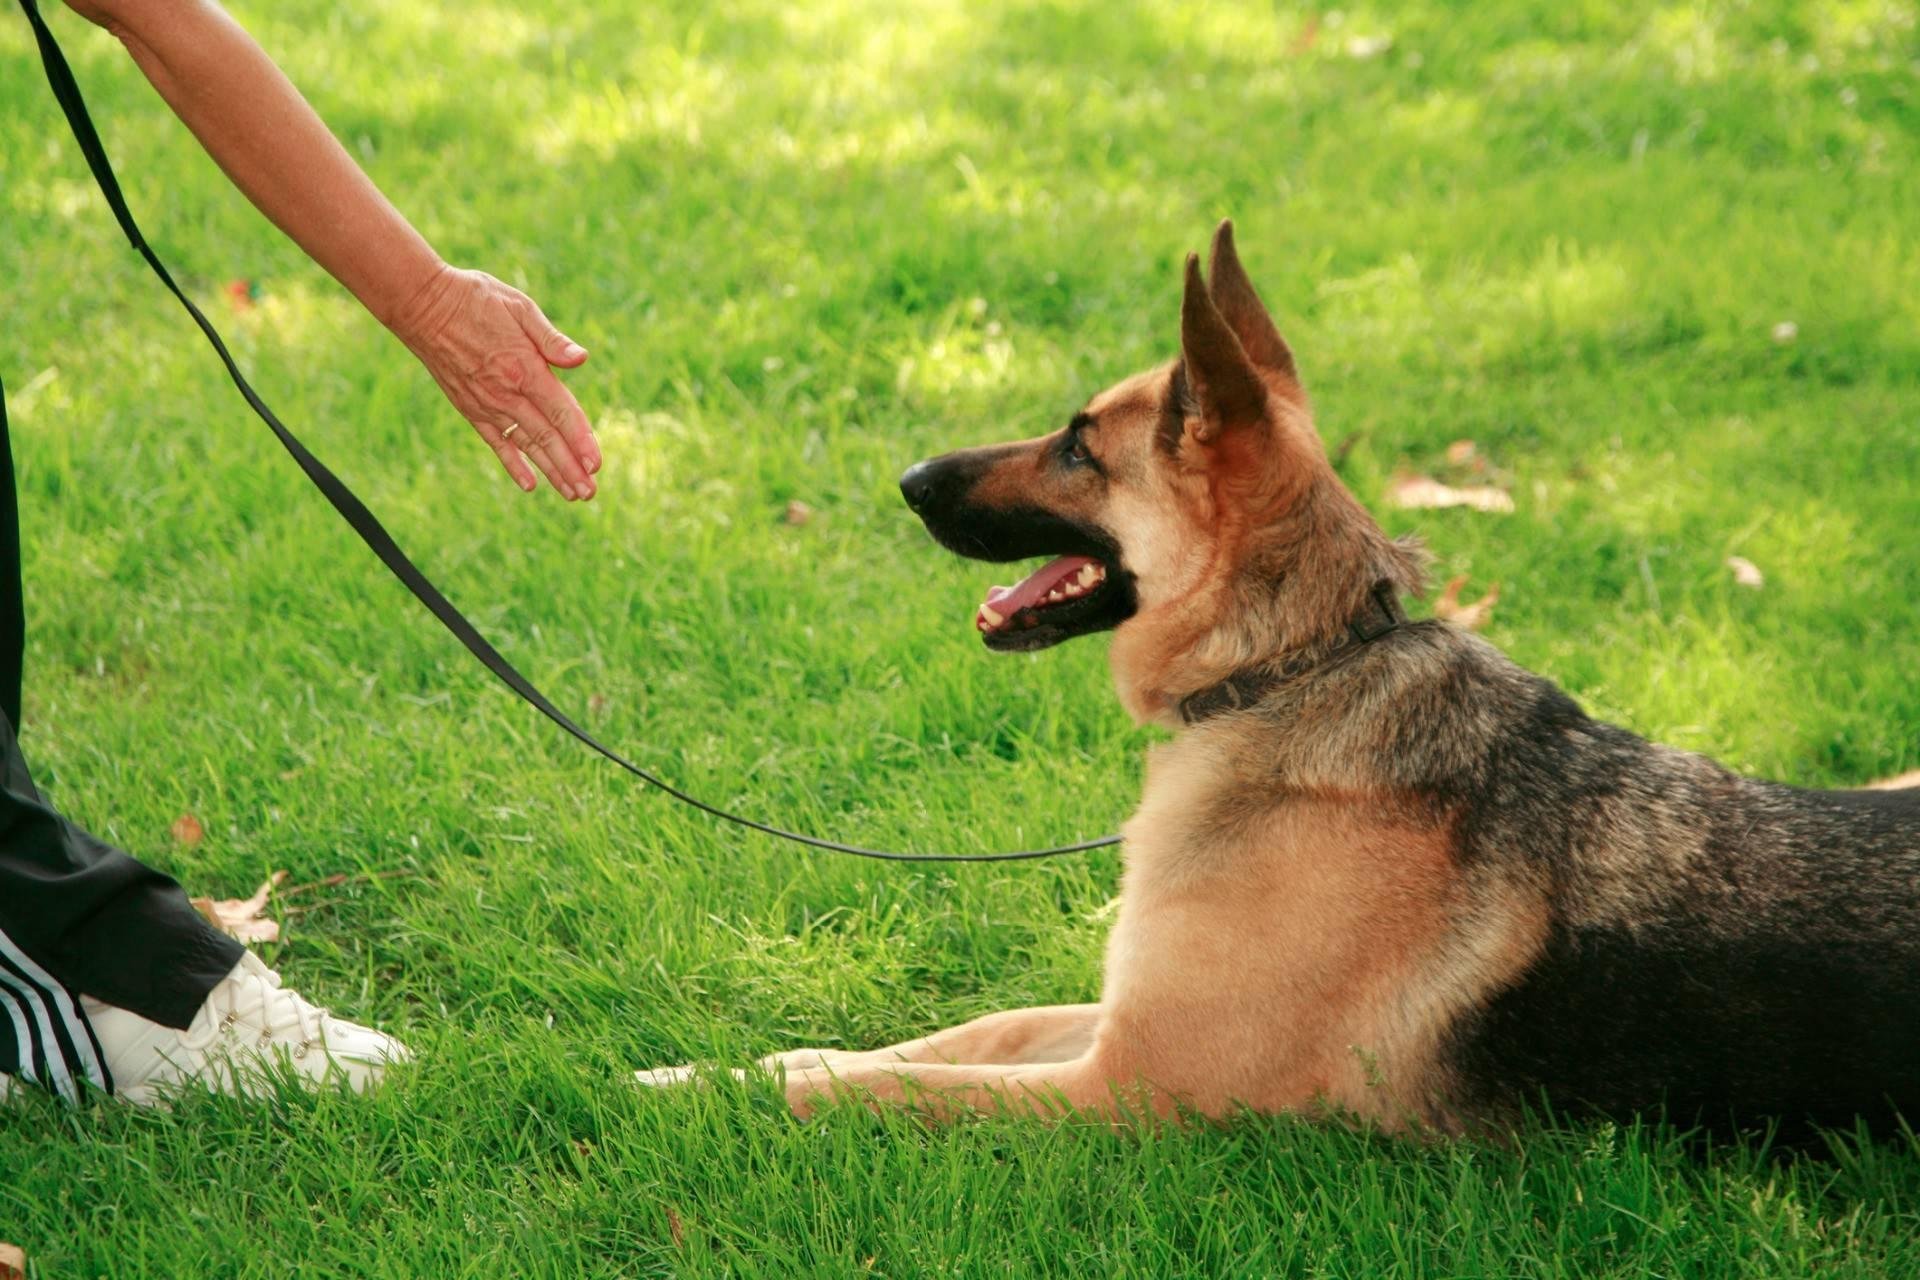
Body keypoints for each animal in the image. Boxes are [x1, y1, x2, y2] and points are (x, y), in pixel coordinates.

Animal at [648, 222, 1920, 1143]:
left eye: (1078, 446)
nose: (907, 477)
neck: (1285, 671)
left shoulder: (1129, 1083)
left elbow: (891, 1086)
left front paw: (712, 1088)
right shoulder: (1117, 1019)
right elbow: (964, 1030)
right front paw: (739, 1057)